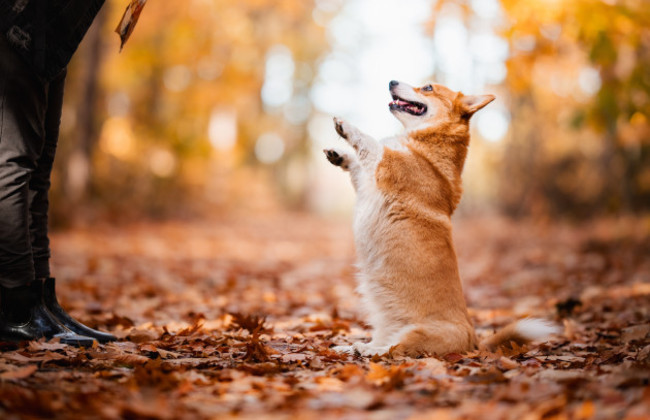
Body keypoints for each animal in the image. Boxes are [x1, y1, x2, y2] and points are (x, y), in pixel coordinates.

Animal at [322, 79, 556, 358]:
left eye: (428, 88)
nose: (391, 81)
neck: (429, 144)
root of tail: (474, 342)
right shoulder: (366, 181)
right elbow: (357, 164)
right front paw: (339, 154)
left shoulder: (386, 163)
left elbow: (371, 143)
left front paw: (346, 127)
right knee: (379, 343)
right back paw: (350, 346)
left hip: (416, 334)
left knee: (393, 349)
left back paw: (367, 352)